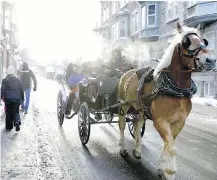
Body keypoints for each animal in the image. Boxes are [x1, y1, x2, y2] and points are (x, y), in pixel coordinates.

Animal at [118, 22, 216, 180]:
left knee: (137, 126)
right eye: (186, 42)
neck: (176, 90)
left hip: (140, 109)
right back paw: (123, 148)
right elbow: (171, 146)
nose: (211, 60)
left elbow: (168, 144)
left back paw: (138, 150)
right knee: (121, 126)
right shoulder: (160, 121)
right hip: (124, 105)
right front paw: (170, 172)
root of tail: (127, 72)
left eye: (204, 40)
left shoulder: (179, 121)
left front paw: (162, 168)